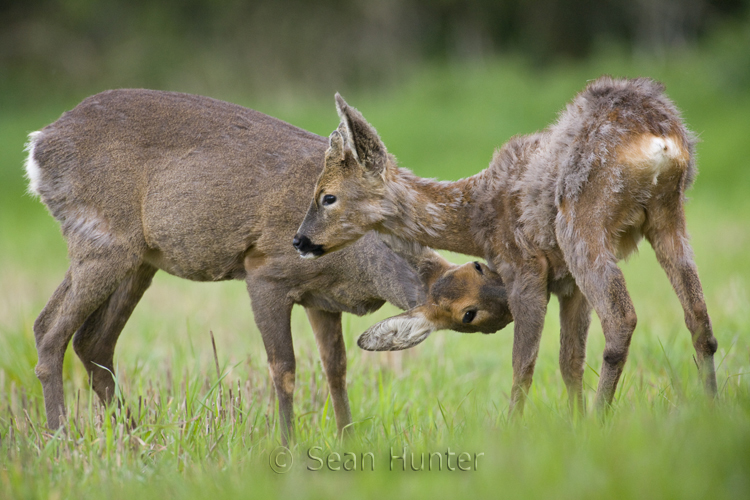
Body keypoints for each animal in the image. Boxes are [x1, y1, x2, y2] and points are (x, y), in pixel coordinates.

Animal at [25, 88, 516, 444]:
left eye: (482, 266)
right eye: (468, 313)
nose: (512, 303)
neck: (358, 266)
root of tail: (38, 146)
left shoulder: (323, 300)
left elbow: (336, 369)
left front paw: (348, 441)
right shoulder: (265, 272)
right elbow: (284, 368)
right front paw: (288, 446)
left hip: (135, 258)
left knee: (90, 341)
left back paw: (135, 439)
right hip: (103, 240)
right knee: (50, 331)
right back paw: (62, 440)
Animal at [296, 77, 724, 414]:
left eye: (327, 196)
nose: (300, 240)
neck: (477, 219)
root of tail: (659, 138)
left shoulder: (525, 268)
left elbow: (523, 366)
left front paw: (516, 431)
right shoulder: (568, 284)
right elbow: (569, 361)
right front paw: (576, 426)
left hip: (582, 222)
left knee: (622, 320)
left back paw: (604, 416)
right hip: (669, 217)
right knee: (700, 320)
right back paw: (710, 410)